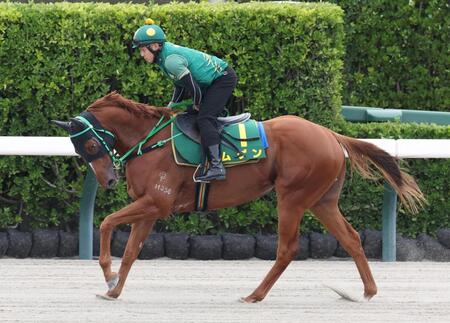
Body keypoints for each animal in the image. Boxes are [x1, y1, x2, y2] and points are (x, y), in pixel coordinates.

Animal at [54, 92, 424, 304]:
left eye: (90, 144)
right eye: (80, 149)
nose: (107, 179)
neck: (152, 141)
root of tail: (331, 134)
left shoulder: (157, 202)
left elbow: (105, 222)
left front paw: (107, 274)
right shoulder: (150, 207)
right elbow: (131, 251)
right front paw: (114, 289)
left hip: (292, 197)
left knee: (287, 249)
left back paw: (255, 295)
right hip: (322, 201)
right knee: (350, 238)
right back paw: (368, 291)